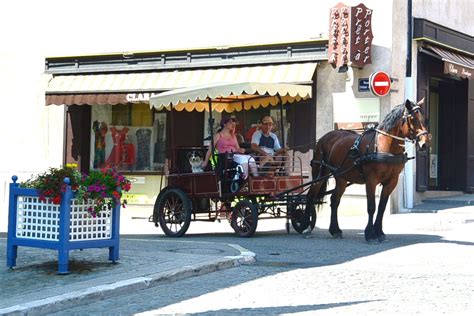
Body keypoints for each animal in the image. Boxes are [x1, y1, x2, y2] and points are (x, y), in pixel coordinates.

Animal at [306, 99, 432, 242]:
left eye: (423, 118)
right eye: (412, 118)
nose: (424, 144)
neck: (385, 146)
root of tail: (325, 137)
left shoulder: (392, 181)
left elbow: (382, 207)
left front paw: (379, 232)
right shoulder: (371, 180)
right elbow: (371, 206)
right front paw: (370, 234)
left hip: (341, 178)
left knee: (334, 200)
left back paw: (335, 230)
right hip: (320, 174)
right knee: (311, 195)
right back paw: (306, 226)